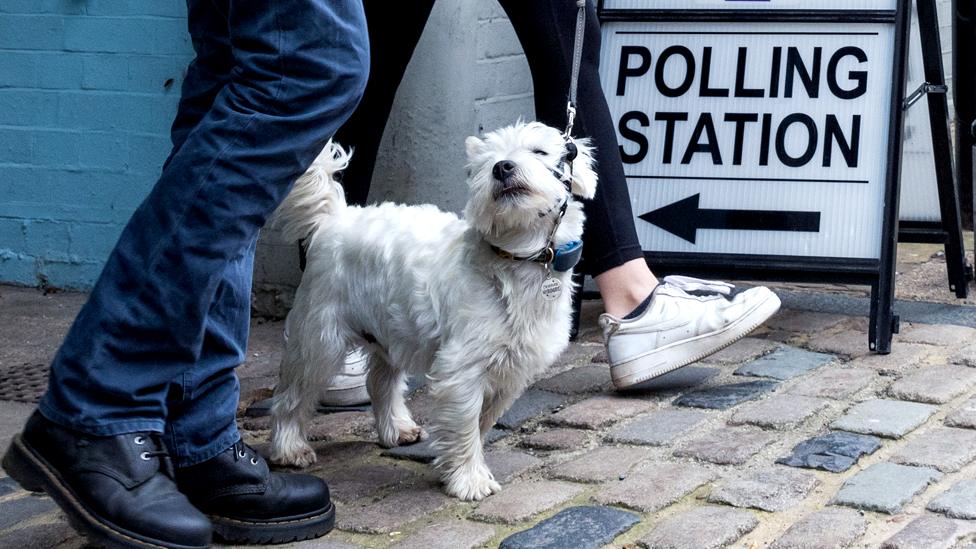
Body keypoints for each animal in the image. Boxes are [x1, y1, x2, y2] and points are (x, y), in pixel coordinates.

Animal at [270, 122, 600, 498]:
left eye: (540, 152)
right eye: (485, 163)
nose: (502, 167)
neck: (518, 258)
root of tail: (335, 218)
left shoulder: (513, 369)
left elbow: (482, 421)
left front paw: (457, 467)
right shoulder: (462, 368)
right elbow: (465, 423)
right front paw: (469, 478)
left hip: (391, 331)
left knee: (380, 382)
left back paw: (397, 429)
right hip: (320, 338)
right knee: (292, 394)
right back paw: (289, 448)